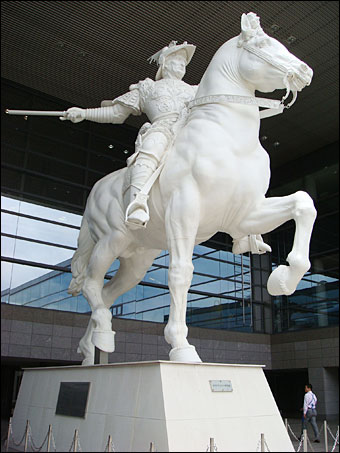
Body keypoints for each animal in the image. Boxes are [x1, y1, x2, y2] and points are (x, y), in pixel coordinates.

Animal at [68, 13, 316, 364]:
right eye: (263, 43)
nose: (305, 72)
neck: (230, 139)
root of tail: (96, 190)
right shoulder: (184, 209)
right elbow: (181, 272)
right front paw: (181, 346)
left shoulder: (245, 214)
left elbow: (303, 205)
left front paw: (283, 280)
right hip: (111, 240)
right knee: (91, 284)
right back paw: (101, 333)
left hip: (137, 260)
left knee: (104, 294)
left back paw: (94, 348)